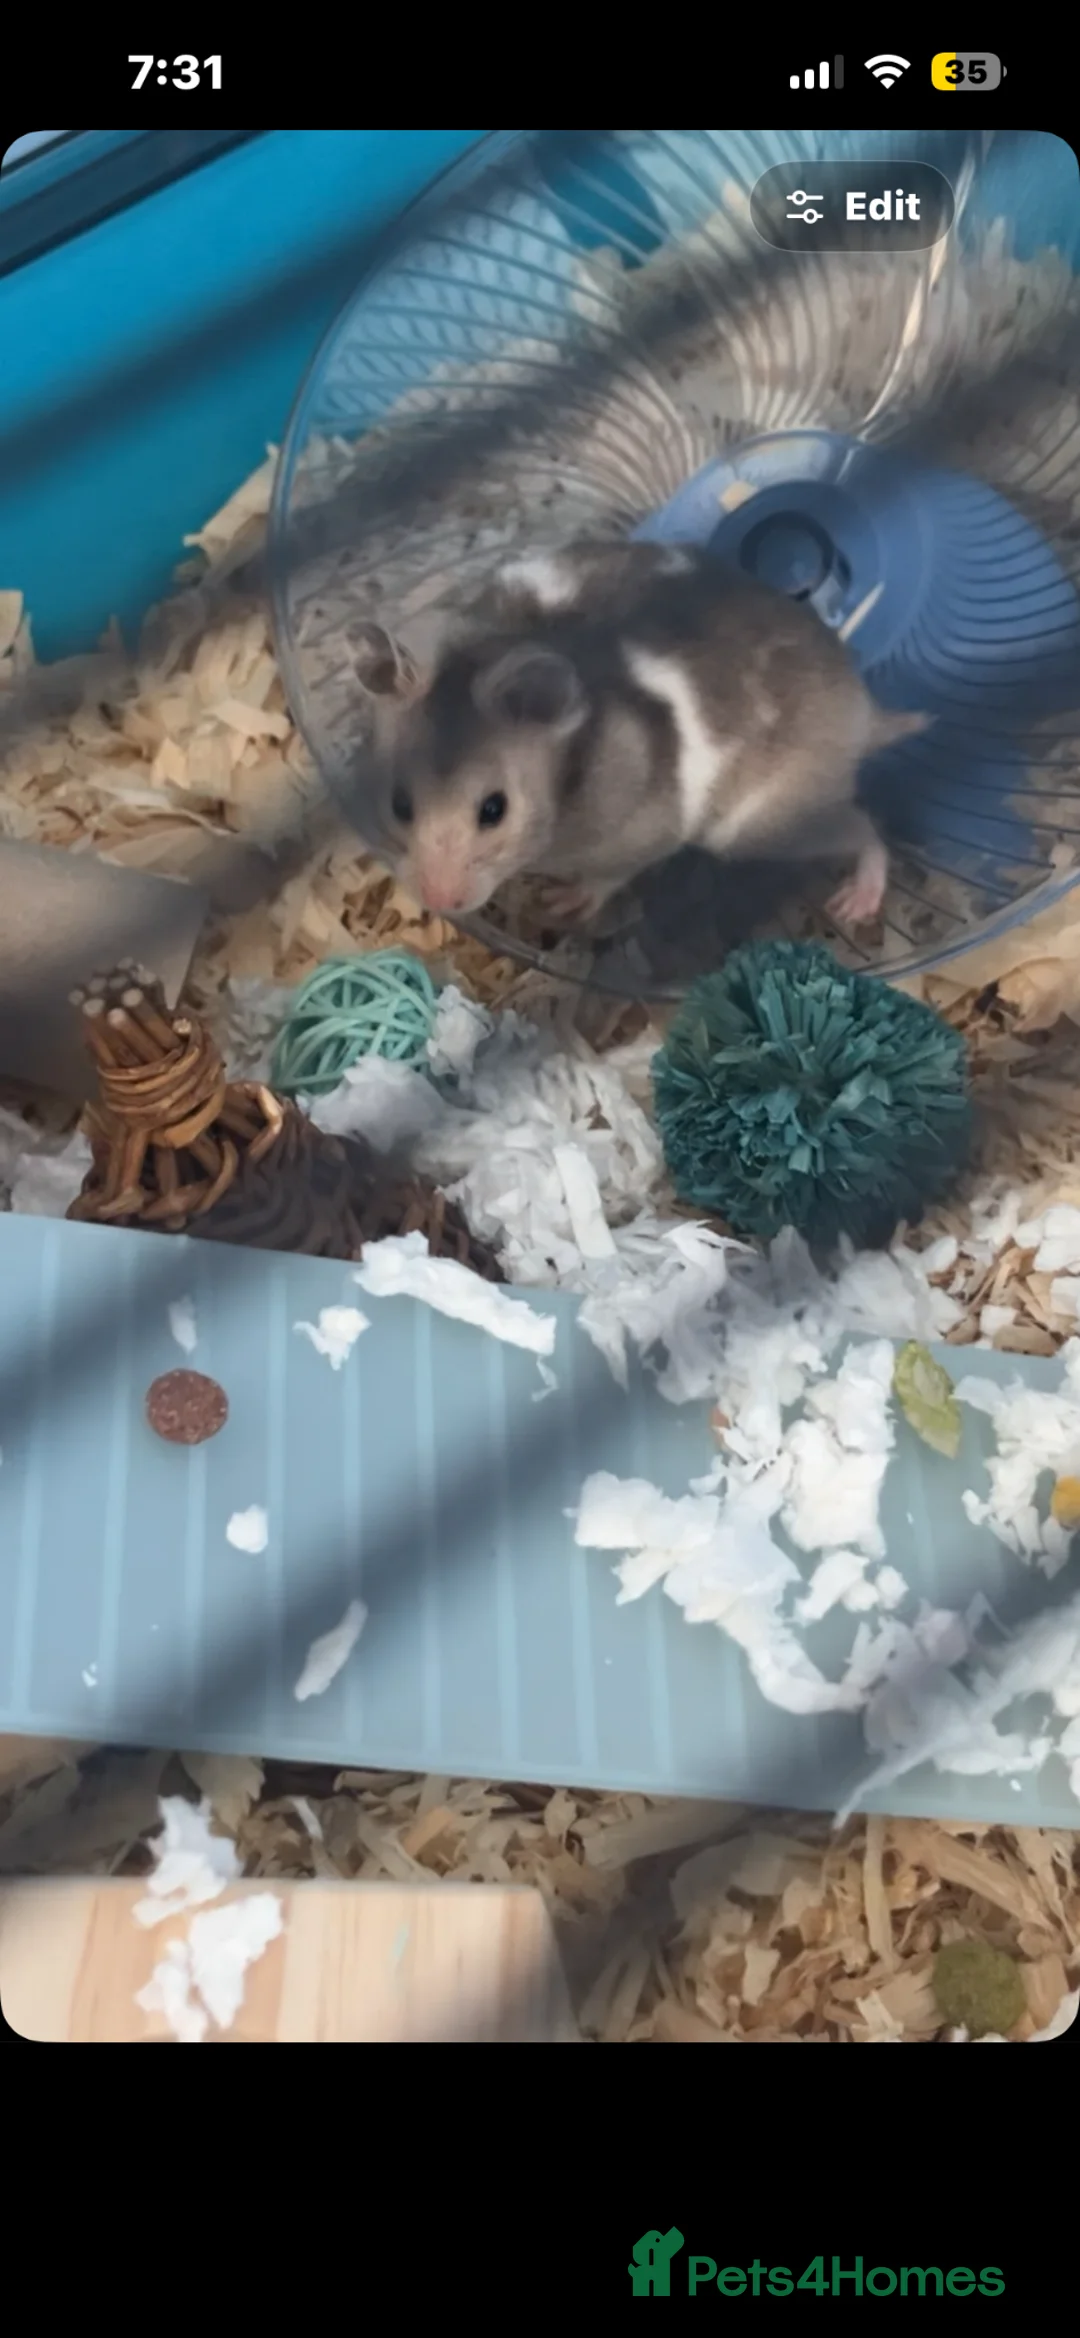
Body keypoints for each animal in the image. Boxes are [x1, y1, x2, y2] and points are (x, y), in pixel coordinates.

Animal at [351, 541, 928, 930]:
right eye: (400, 805)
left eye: (494, 809)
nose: (438, 903)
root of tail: (865, 712)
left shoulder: (645, 832)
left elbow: (612, 874)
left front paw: (562, 905)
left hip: (767, 825)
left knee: (864, 827)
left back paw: (854, 904)